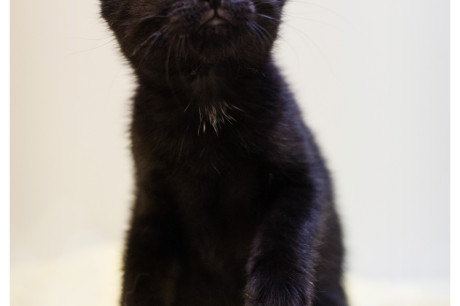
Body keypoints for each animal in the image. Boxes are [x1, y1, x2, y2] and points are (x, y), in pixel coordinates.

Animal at [99, 0, 344, 304]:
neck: (210, 106)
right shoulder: (151, 203)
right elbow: (142, 272)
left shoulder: (301, 178)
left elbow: (286, 233)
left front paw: (278, 293)